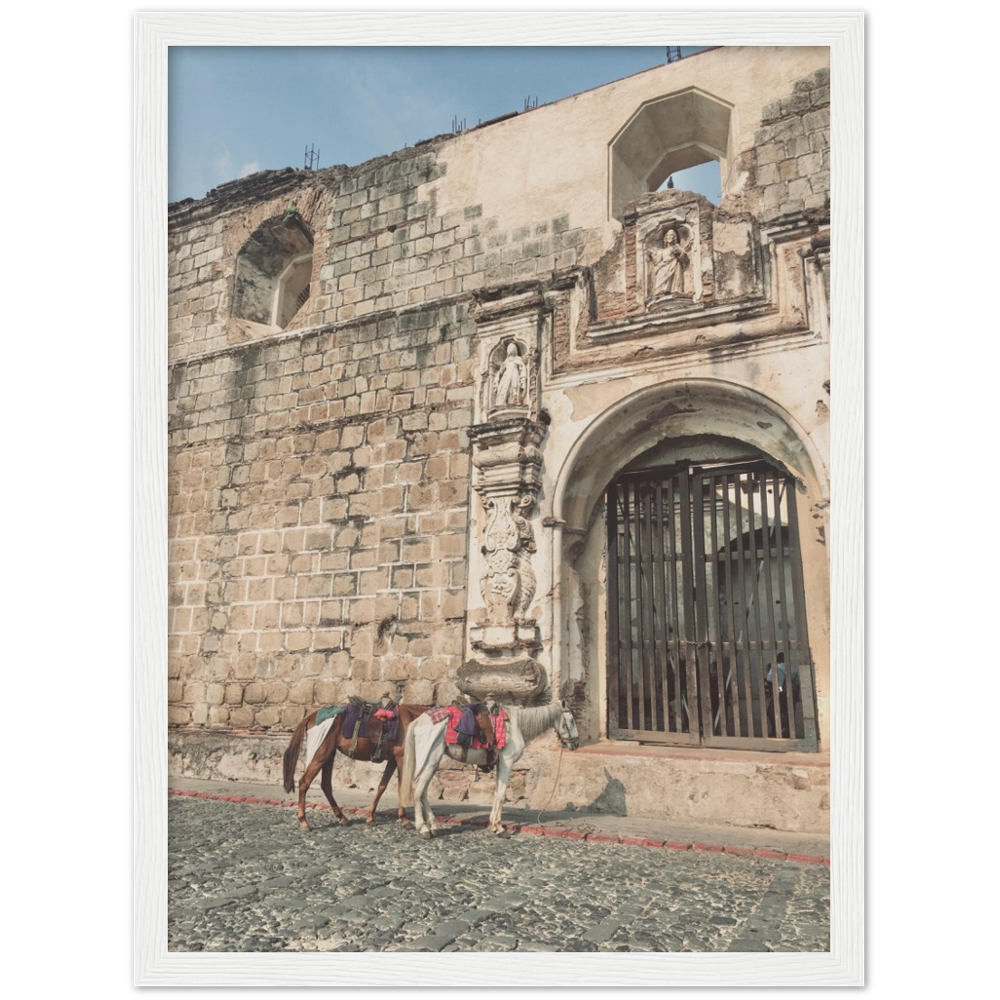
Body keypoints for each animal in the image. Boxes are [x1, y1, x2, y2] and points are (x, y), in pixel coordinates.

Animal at [282, 708, 430, 832]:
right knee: (304, 782)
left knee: (326, 785)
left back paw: (342, 818)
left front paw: (370, 817)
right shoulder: (401, 759)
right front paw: (405, 820)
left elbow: (382, 786)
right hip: (321, 755)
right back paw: (304, 821)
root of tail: (310, 717)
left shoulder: (392, 761)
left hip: (329, 754)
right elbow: (401, 787)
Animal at [402, 700, 584, 840]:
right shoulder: (507, 763)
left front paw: (494, 825)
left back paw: (433, 826)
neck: (516, 725)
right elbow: (502, 796)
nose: (576, 744)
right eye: (571, 720)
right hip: (429, 760)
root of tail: (418, 721)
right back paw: (423, 829)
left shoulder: (499, 765)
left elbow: (497, 794)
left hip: (432, 762)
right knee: (417, 790)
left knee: (423, 792)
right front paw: (500, 829)